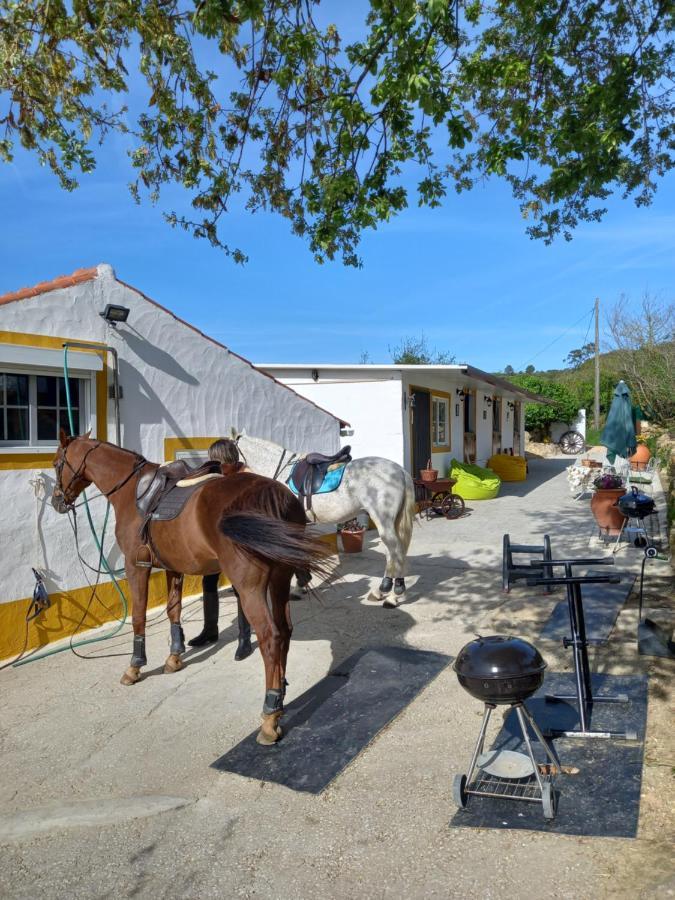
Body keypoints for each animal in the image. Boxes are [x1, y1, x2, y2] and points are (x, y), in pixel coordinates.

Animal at [50, 432, 330, 740]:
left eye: (56, 463)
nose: (56, 501)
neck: (133, 491)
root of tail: (273, 496)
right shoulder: (173, 567)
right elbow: (174, 610)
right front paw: (174, 657)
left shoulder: (137, 567)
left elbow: (138, 616)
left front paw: (135, 666)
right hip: (280, 579)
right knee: (285, 631)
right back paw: (280, 695)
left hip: (251, 587)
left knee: (271, 638)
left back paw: (270, 714)